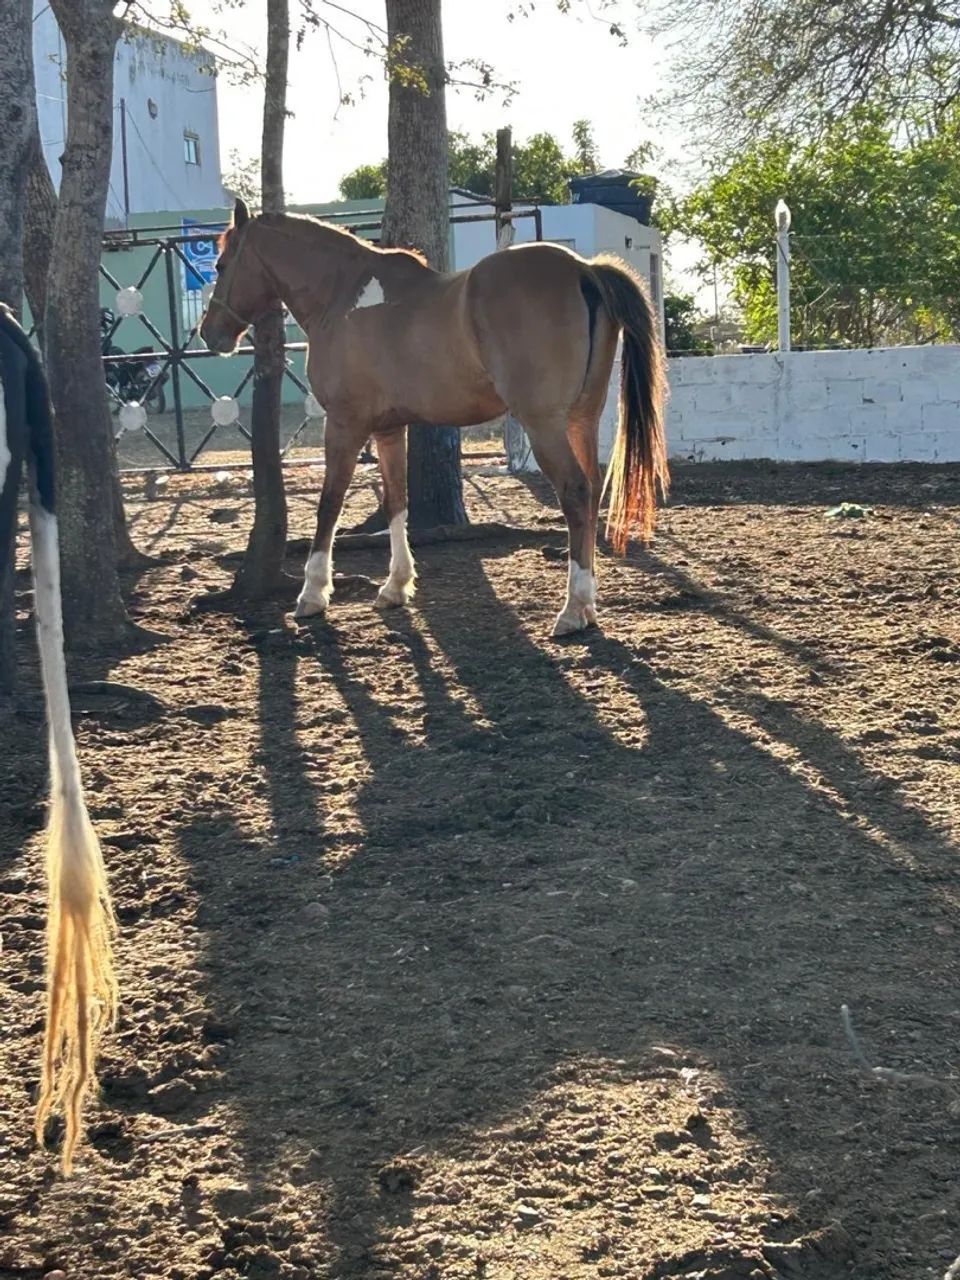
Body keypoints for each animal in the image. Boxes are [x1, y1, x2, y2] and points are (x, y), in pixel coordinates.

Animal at [200, 198, 669, 636]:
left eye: (221, 264)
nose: (210, 333)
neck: (342, 296)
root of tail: (584, 270)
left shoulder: (345, 424)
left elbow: (328, 503)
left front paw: (313, 593)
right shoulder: (389, 429)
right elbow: (396, 501)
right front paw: (396, 586)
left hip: (545, 425)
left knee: (575, 492)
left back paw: (572, 609)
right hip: (581, 419)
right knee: (591, 489)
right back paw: (587, 605)